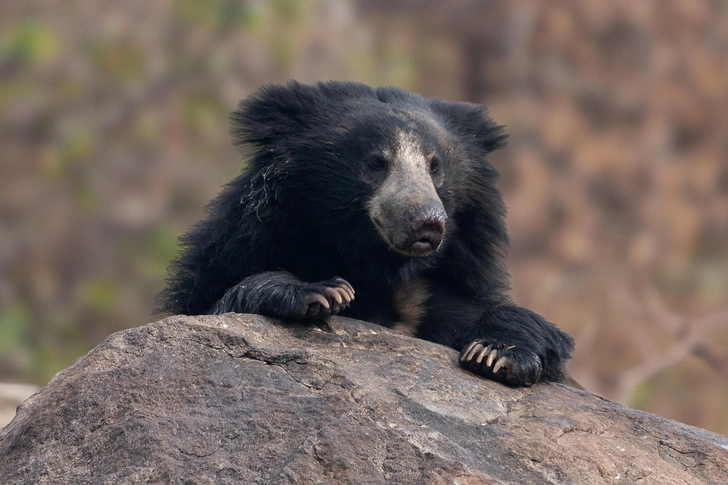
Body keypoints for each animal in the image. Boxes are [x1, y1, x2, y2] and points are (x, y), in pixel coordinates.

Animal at [158, 79, 576, 386]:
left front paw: (495, 353)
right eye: (376, 164)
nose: (427, 222)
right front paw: (323, 292)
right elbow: (220, 301)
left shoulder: (433, 293)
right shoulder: (242, 246)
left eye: (435, 166)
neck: (378, 267)